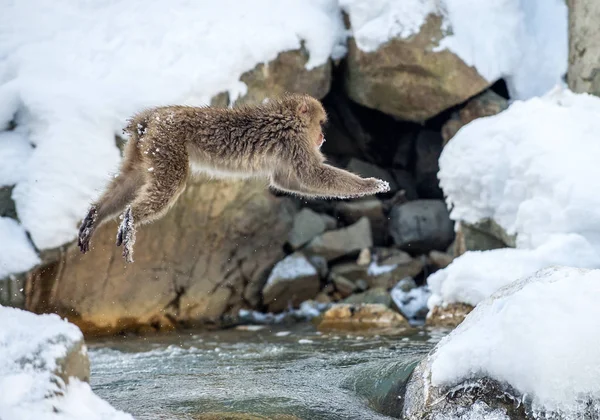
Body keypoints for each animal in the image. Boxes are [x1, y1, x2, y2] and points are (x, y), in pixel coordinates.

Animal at [77, 94, 392, 262]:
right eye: (321, 123)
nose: (322, 137)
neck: (287, 116)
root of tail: (150, 118)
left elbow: (286, 181)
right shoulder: (294, 141)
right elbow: (312, 174)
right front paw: (371, 185)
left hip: (144, 148)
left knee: (131, 178)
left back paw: (94, 217)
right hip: (167, 144)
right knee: (169, 184)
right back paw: (130, 220)